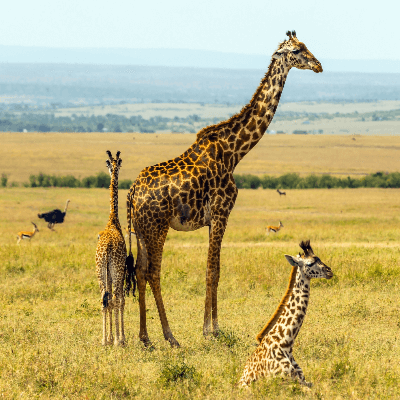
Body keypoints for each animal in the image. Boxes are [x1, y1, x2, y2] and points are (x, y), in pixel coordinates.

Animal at [126, 31, 324, 346]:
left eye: (306, 46)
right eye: (296, 51)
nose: (318, 65)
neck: (235, 152)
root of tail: (132, 192)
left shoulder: (211, 220)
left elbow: (211, 269)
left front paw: (208, 327)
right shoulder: (221, 214)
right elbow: (213, 271)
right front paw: (212, 330)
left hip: (143, 229)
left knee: (141, 271)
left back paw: (145, 338)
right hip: (158, 227)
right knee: (154, 272)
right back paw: (170, 336)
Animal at [239, 241, 332, 388]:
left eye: (319, 258)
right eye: (310, 263)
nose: (330, 272)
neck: (286, 343)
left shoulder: (303, 380)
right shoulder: (287, 383)